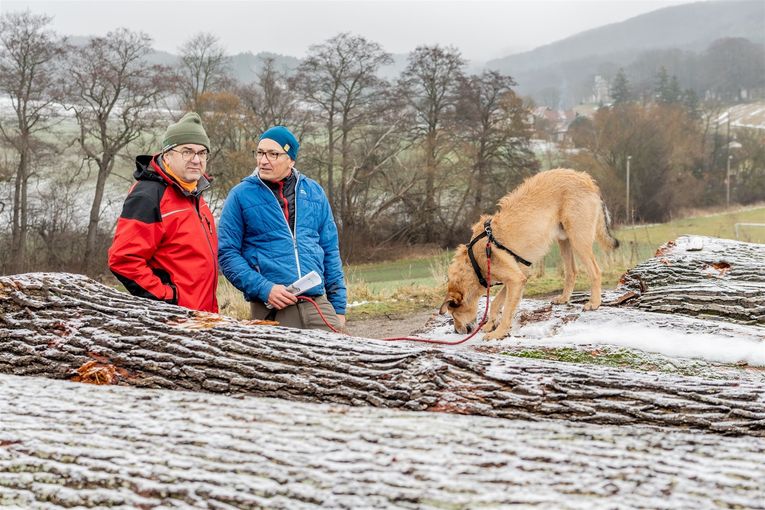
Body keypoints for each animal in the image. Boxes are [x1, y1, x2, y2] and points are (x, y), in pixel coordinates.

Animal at [438, 169, 616, 340]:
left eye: (453, 314)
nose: (456, 331)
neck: (474, 261)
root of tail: (585, 179)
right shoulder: (518, 277)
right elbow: (496, 302)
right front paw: (490, 324)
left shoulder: (515, 280)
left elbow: (507, 311)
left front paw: (498, 333)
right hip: (564, 241)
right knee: (571, 271)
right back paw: (564, 298)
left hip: (578, 240)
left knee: (595, 271)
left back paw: (594, 302)